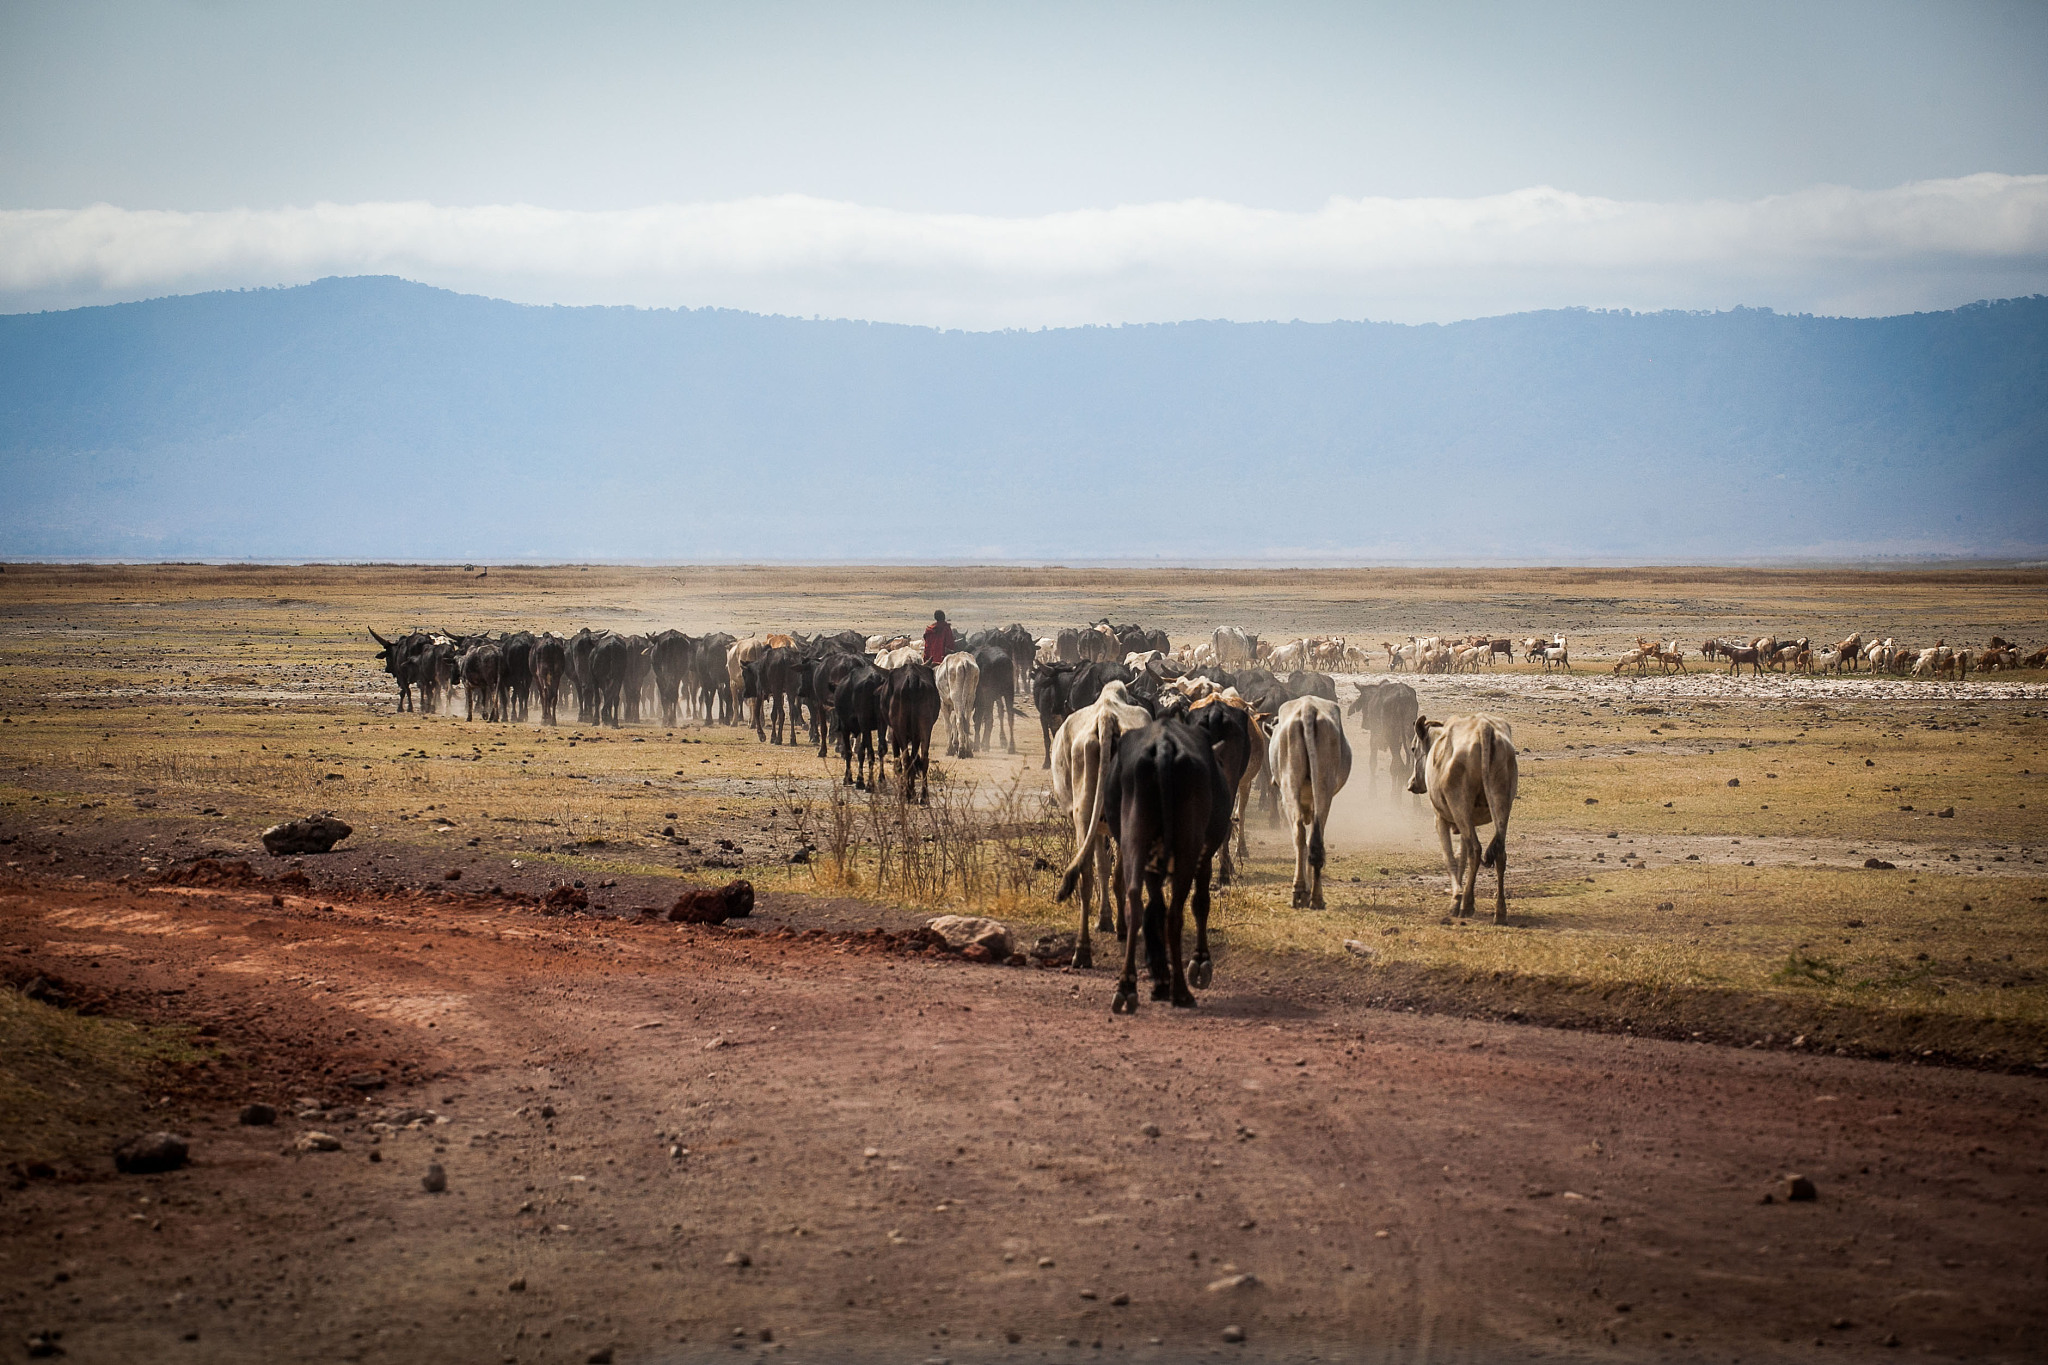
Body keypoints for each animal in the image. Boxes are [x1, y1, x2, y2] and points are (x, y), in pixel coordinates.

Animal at [1049, 680, 1153, 969]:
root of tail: (1107, 717)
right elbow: (1107, 868)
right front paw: (1109, 921)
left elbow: (1101, 867)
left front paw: (1104, 920)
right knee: (1118, 872)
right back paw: (1123, 929)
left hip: (1084, 814)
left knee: (1085, 873)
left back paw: (1082, 950)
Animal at [1267, 696, 1351, 909]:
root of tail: (1308, 708)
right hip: (1322, 788)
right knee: (1312, 840)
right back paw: (1313, 896)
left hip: (1291, 785)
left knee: (1301, 835)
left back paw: (1302, 893)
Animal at [1409, 713, 1518, 924]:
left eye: (1412, 748)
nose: (1411, 783)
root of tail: (1484, 728)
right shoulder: (1468, 822)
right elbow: (1462, 855)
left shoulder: (1440, 818)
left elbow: (1450, 856)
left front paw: (1456, 899)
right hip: (1501, 804)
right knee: (1499, 852)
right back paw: (1500, 912)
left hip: (1459, 805)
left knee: (1476, 849)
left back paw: (1467, 903)